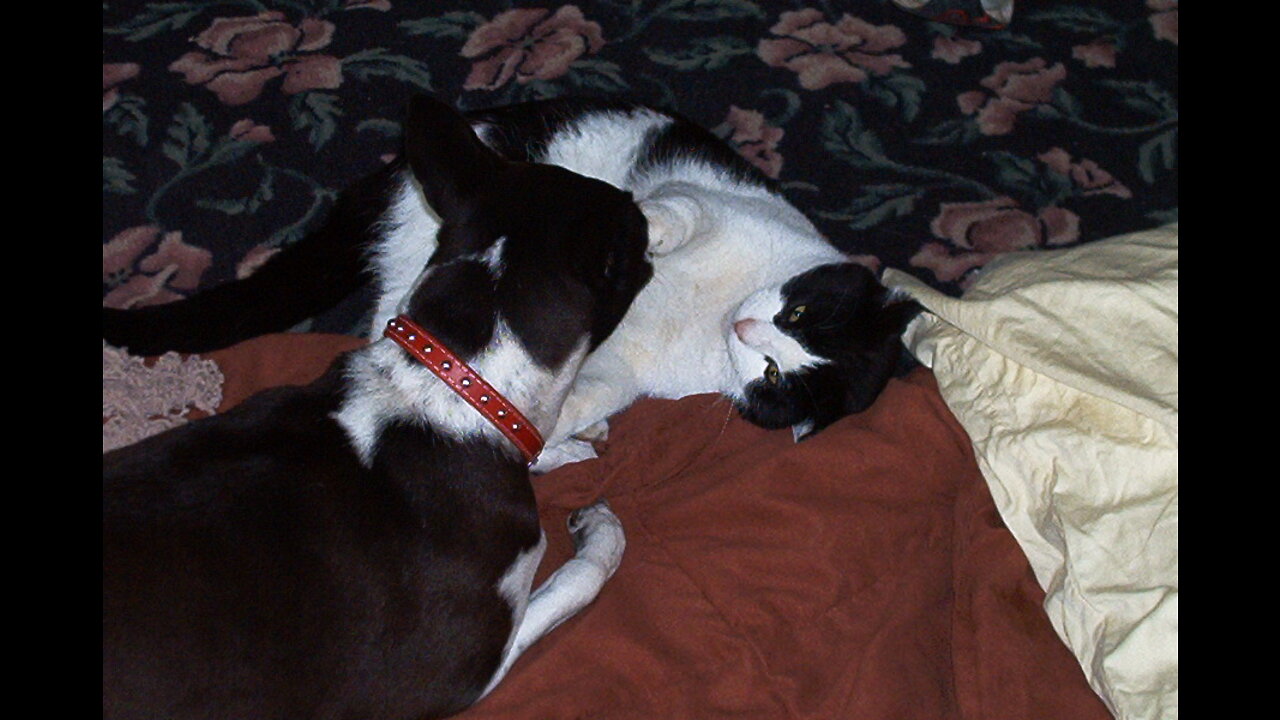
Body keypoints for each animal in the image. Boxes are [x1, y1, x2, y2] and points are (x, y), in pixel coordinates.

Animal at [102, 96, 921, 466]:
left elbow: (581, 397)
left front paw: (560, 429)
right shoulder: (709, 199)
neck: (712, 312)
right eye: (801, 311)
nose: (747, 329)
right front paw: (649, 233)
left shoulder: (625, 374)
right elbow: (674, 210)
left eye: (777, 374)